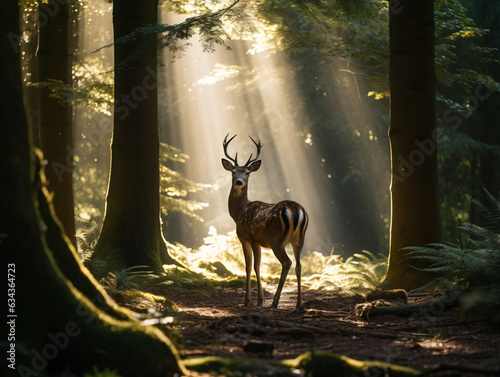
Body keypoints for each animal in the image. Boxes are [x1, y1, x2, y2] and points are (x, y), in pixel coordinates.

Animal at [222, 134, 308, 306]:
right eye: (233, 172)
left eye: (247, 172)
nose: (239, 182)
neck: (239, 212)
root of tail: (297, 210)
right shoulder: (258, 242)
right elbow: (257, 266)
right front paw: (258, 300)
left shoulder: (247, 238)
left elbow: (251, 267)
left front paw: (251, 301)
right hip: (299, 238)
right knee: (299, 265)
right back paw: (299, 304)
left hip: (276, 238)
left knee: (287, 262)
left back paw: (275, 302)